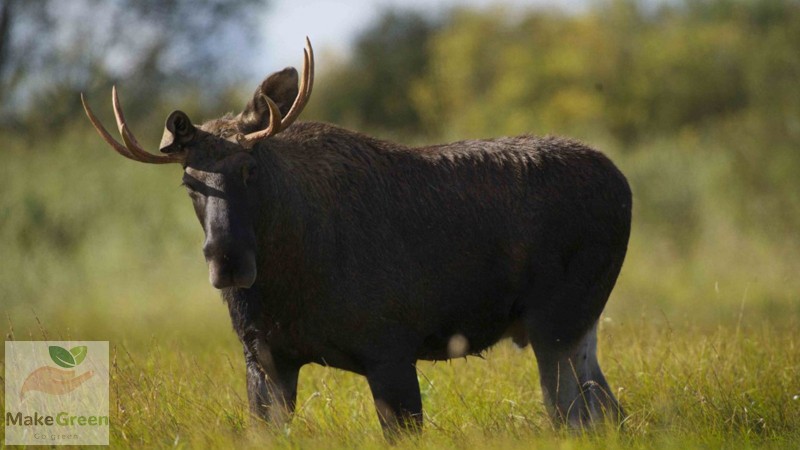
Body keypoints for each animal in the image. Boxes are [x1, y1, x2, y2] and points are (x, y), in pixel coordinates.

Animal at [81, 37, 632, 436]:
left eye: (250, 167)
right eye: (188, 181)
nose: (228, 260)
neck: (285, 284)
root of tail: (625, 185)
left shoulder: (390, 350)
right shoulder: (264, 357)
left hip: (556, 320)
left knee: (575, 416)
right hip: (576, 326)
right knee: (607, 411)